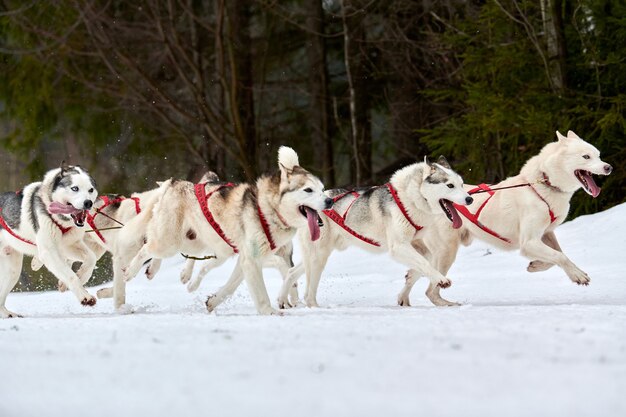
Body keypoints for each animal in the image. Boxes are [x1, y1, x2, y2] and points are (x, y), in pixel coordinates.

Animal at [0, 164, 97, 316]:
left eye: (90, 189)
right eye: (75, 188)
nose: (88, 203)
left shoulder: (68, 245)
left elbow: (91, 258)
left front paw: (81, 277)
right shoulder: (49, 252)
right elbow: (70, 275)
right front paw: (84, 296)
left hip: (12, 271)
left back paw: (8, 314)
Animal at [119, 145, 330, 312]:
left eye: (321, 189)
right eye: (308, 190)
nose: (329, 200)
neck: (267, 210)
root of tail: (175, 182)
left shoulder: (247, 259)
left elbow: (230, 287)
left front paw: (213, 302)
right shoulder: (252, 259)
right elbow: (267, 286)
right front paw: (270, 312)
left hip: (198, 243)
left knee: (186, 257)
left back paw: (168, 272)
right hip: (170, 242)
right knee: (146, 248)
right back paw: (130, 271)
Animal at [278, 154, 472, 308]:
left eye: (462, 184)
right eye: (450, 186)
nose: (469, 199)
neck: (410, 199)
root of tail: (306, 205)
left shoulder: (418, 246)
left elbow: (423, 264)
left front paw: (407, 288)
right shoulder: (398, 247)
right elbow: (424, 264)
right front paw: (440, 279)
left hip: (318, 254)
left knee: (291, 272)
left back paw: (282, 300)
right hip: (318, 256)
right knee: (308, 292)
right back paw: (313, 306)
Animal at [400, 130, 608, 300]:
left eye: (598, 155)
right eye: (586, 156)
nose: (609, 167)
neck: (541, 185)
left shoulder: (545, 234)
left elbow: (557, 255)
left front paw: (536, 265)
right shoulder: (529, 242)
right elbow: (560, 256)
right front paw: (578, 275)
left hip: (431, 254)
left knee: (413, 274)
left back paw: (403, 301)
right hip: (446, 252)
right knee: (430, 290)